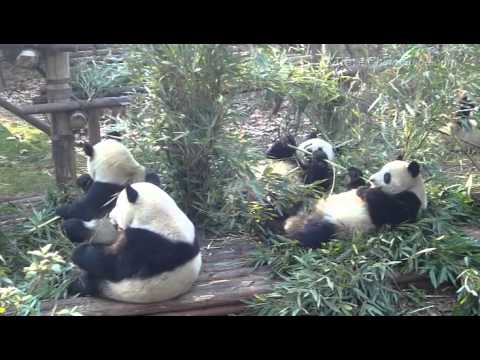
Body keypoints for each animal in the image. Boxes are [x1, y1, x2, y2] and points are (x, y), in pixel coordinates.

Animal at [68, 183, 202, 304]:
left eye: (117, 205)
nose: (110, 216)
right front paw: (73, 228)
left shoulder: (151, 245)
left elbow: (114, 265)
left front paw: (78, 252)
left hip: (117, 288)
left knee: (90, 281)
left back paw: (74, 287)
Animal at [284, 159, 426, 249]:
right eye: (380, 169)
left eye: (387, 176)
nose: (371, 179)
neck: (413, 186)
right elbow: (353, 185)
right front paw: (355, 173)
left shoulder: (412, 200)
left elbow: (393, 215)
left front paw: (365, 192)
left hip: (337, 227)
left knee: (316, 233)